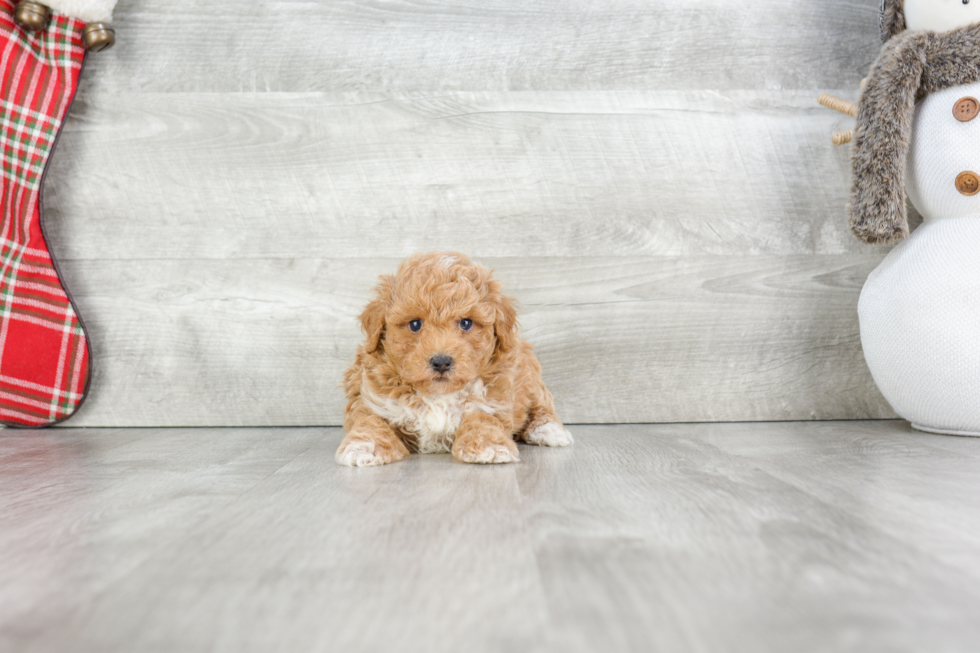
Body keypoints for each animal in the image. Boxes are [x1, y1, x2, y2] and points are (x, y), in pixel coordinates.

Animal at [334, 251, 572, 464]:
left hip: (529, 372)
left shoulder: (493, 402)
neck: (438, 395)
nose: (441, 362)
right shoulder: (372, 400)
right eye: (415, 324)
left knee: (542, 403)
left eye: (466, 323)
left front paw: (488, 446)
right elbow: (370, 422)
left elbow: (482, 419)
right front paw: (363, 446)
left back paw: (549, 430)